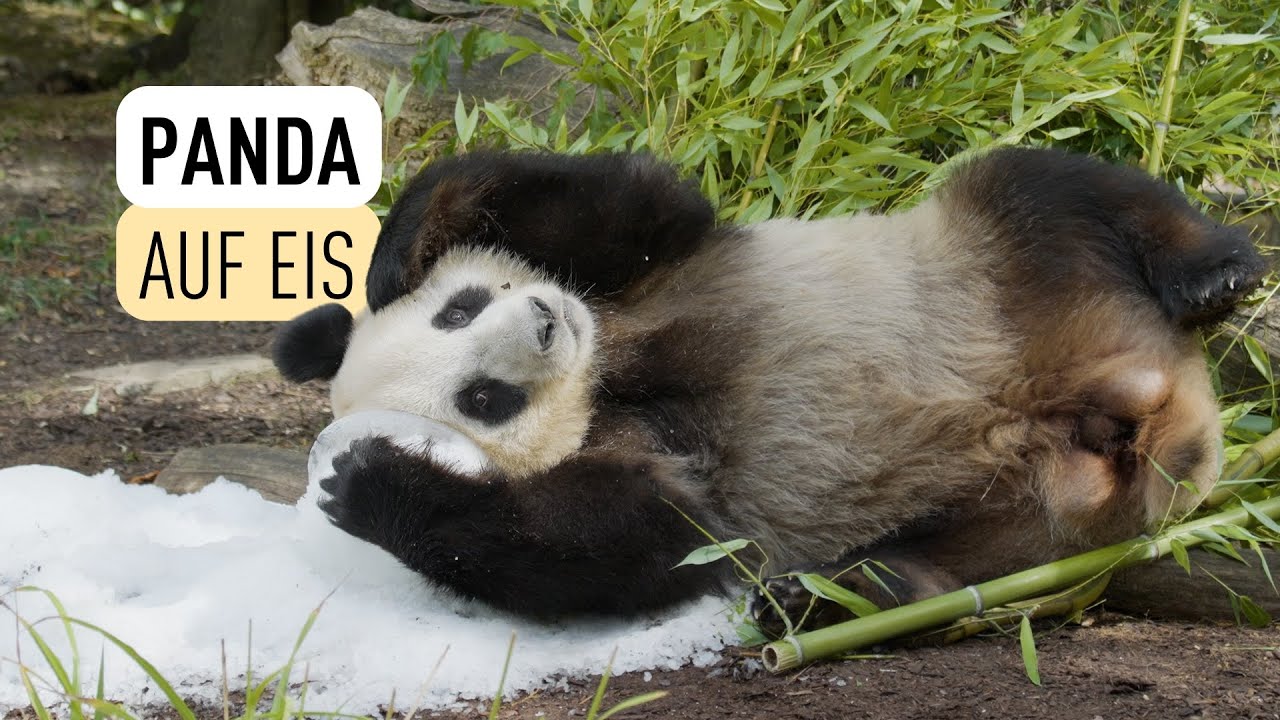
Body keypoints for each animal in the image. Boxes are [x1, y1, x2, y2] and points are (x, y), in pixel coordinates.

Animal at [273, 148, 1265, 634]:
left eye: (462, 309)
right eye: (484, 400)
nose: (546, 323)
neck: (610, 373)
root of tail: (1162, 406)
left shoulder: (649, 273)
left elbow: (613, 205)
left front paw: (395, 257)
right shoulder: (633, 456)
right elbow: (637, 542)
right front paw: (362, 482)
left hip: (999, 260)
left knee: (1053, 185)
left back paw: (1214, 273)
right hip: (1033, 523)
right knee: (941, 573)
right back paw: (822, 597)